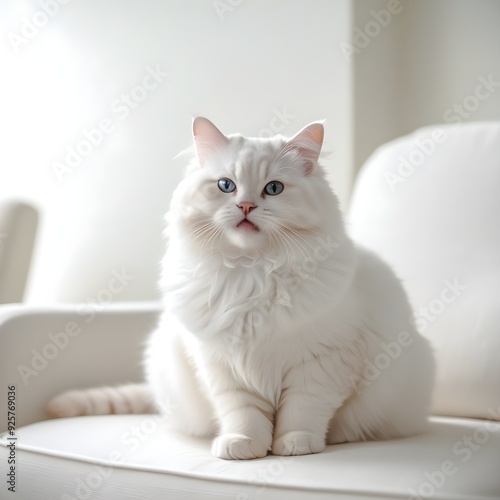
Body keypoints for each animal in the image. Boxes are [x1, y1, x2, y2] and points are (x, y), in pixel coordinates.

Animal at [48, 118, 436, 460]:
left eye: (274, 188)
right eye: (226, 185)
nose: (246, 206)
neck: (251, 274)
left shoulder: (322, 362)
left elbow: (302, 410)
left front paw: (295, 444)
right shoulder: (222, 366)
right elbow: (244, 415)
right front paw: (244, 446)